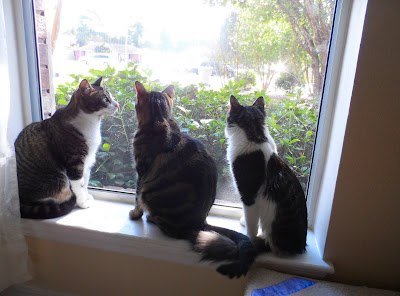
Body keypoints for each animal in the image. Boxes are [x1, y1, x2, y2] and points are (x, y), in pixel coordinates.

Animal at [15, 77, 119, 219]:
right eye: (105, 99)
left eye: (111, 97)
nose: (117, 104)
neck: (92, 124)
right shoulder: (74, 161)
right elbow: (78, 184)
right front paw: (82, 202)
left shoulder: (87, 161)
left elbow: (85, 182)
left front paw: (86, 196)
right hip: (56, 179)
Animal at [130, 81, 256, 278]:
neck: (161, 118)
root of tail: (201, 222)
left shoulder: (141, 173)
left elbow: (136, 199)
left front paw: (135, 215)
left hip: (150, 194)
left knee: (170, 229)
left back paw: (152, 218)